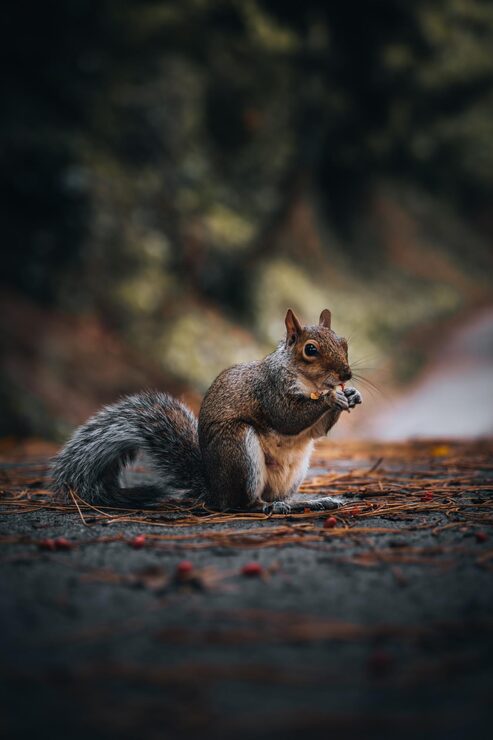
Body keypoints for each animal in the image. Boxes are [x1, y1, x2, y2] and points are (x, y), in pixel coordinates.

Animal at [50, 308, 362, 514]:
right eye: (310, 349)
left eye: (344, 342)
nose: (346, 374)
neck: (310, 383)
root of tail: (214, 489)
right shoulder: (269, 390)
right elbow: (287, 417)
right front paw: (331, 398)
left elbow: (317, 431)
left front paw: (351, 395)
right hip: (238, 449)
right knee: (242, 504)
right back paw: (272, 507)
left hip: (294, 472)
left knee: (274, 496)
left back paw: (311, 501)